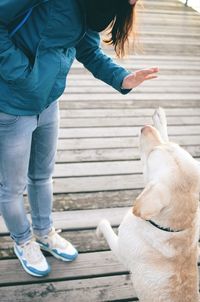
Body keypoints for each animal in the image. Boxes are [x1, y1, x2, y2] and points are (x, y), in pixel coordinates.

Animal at [97, 108, 200, 302]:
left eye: (151, 154)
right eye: (174, 145)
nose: (145, 128)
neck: (173, 227)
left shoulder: (120, 248)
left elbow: (105, 225)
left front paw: (99, 230)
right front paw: (160, 119)